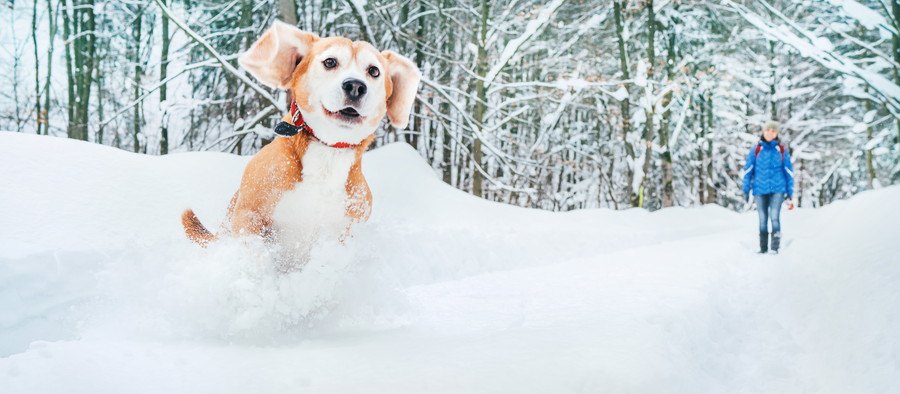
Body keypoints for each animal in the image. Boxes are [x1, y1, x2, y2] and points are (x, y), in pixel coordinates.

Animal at [183, 20, 422, 246]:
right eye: (330, 62)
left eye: (374, 71)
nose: (355, 86)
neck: (328, 151)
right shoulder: (248, 215)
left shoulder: (345, 230)